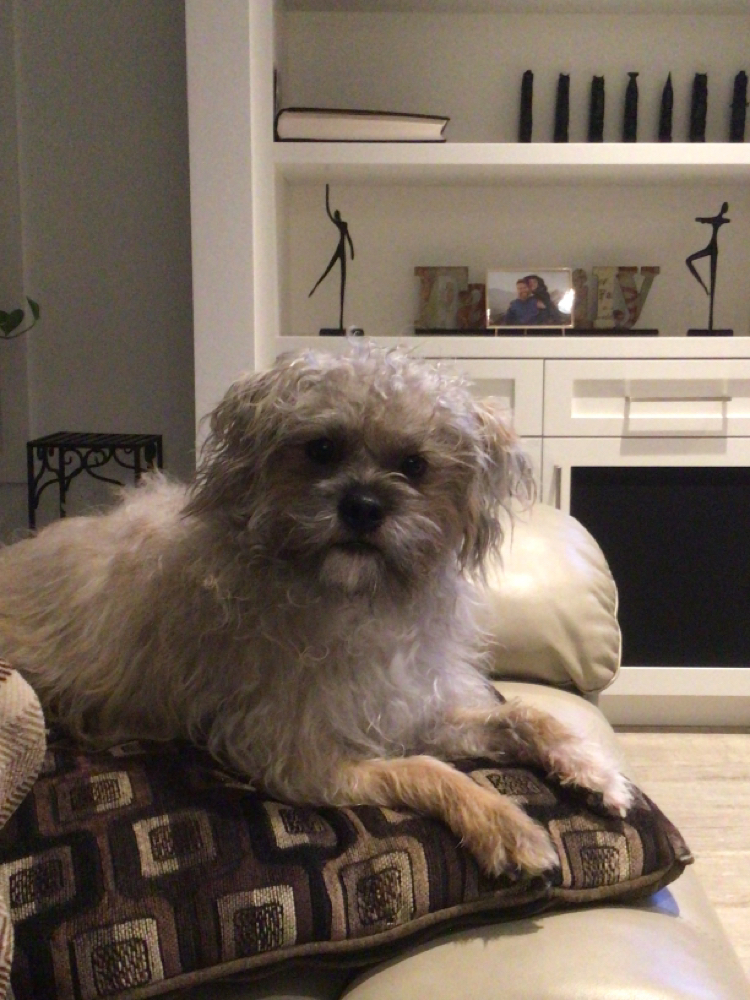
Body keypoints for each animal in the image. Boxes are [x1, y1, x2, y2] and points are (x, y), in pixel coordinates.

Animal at [0, 344, 631, 876]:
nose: (364, 506)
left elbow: (527, 715)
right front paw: (504, 823)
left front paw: (594, 769)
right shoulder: (305, 762)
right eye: (322, 449)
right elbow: (428, 770)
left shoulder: (412, 712)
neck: (358, 602)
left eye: (415, 464)